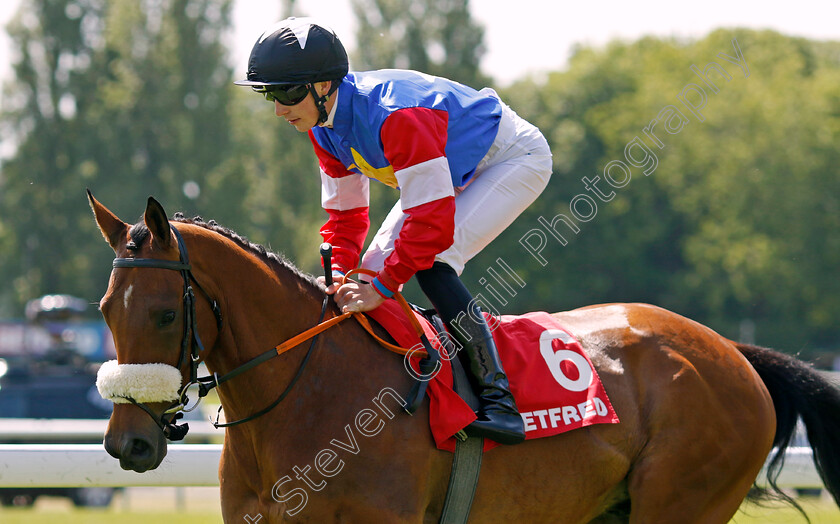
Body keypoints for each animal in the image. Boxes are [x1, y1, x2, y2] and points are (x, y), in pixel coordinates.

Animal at [87, 193, 840, 524]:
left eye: (163, 313)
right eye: (103, 308)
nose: (129, 443)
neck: (307, 394)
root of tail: (734, 353)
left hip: (684, 500)